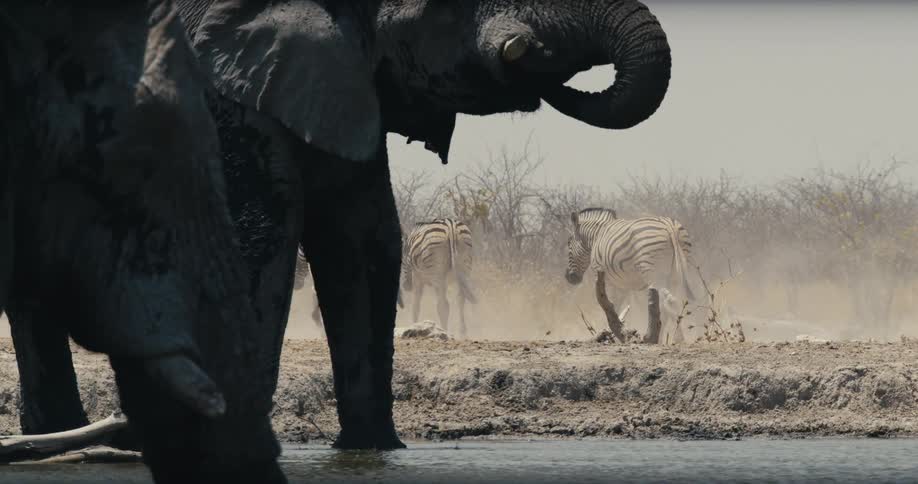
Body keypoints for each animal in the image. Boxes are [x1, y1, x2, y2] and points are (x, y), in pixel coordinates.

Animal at [565, 208, 697, 343]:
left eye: (569, 243)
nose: (569, 278)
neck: (596, 236)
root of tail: (669, 225)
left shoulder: (607, 278)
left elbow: (610, 304)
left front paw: (612, 333)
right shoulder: (623, 284)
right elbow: (617, 306)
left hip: (654, 274)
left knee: (670, 301)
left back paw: (677, 338)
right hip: (674, 274)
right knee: (673, 302)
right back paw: (663, 337)